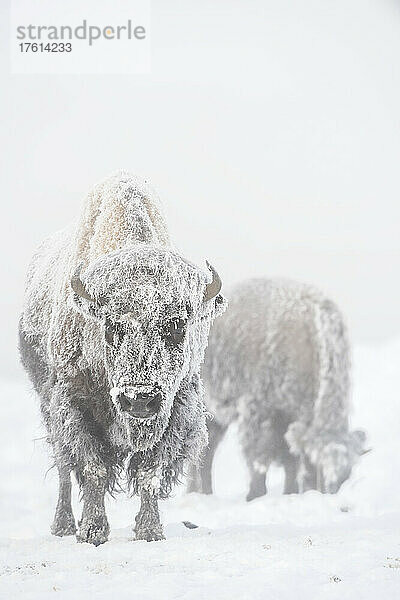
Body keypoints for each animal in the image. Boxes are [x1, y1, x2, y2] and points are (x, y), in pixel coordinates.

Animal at [19, 172, 225, 544]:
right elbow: (93, 469)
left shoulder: (175, 407)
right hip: (48, 408)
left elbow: (149, 472)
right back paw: (64, 526)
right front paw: (93, 532)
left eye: (177, 325)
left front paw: (149, 531)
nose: (139, 398)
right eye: (112, 325)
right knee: (64, 470)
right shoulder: (74, 405)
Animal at [188, 278, 366, 500]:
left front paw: (290, 492)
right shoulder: (259, 410)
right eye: (319, 466)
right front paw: (255, 495)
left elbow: (290, 459)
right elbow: (259, 457)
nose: (329, 492)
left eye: (348, 474)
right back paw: (200, 493)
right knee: (203, 452)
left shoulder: (288, 417)